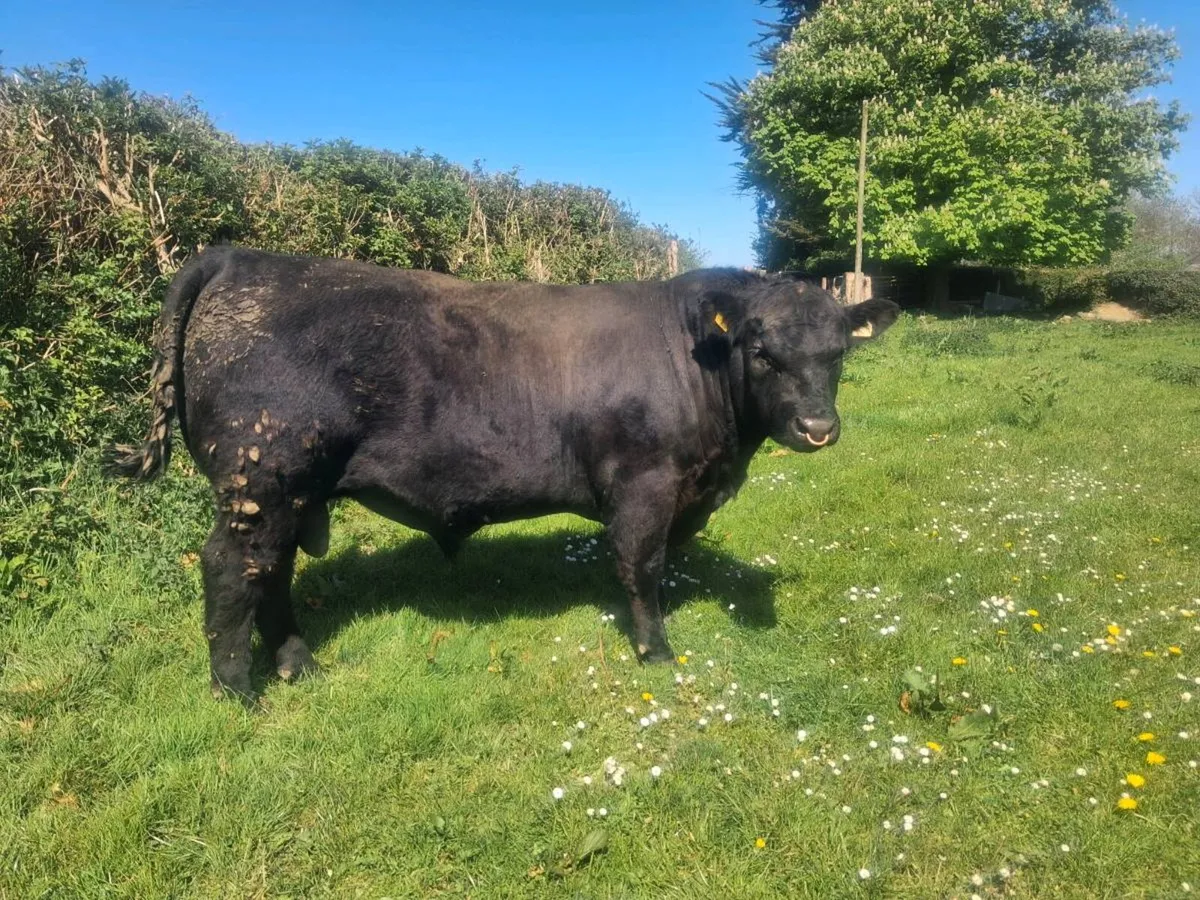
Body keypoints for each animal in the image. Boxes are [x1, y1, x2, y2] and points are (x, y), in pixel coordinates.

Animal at [108, 247, 898, 702]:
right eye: (762, 351)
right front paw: (656, 650)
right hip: (262, 477)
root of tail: (239, 258)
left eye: (838, 353)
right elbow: (642, 566)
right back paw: (237, 689)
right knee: (231, 567)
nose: (817, 428)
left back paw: (299, 667)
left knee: (268, 572)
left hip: (291, 491)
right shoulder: (644, 484)